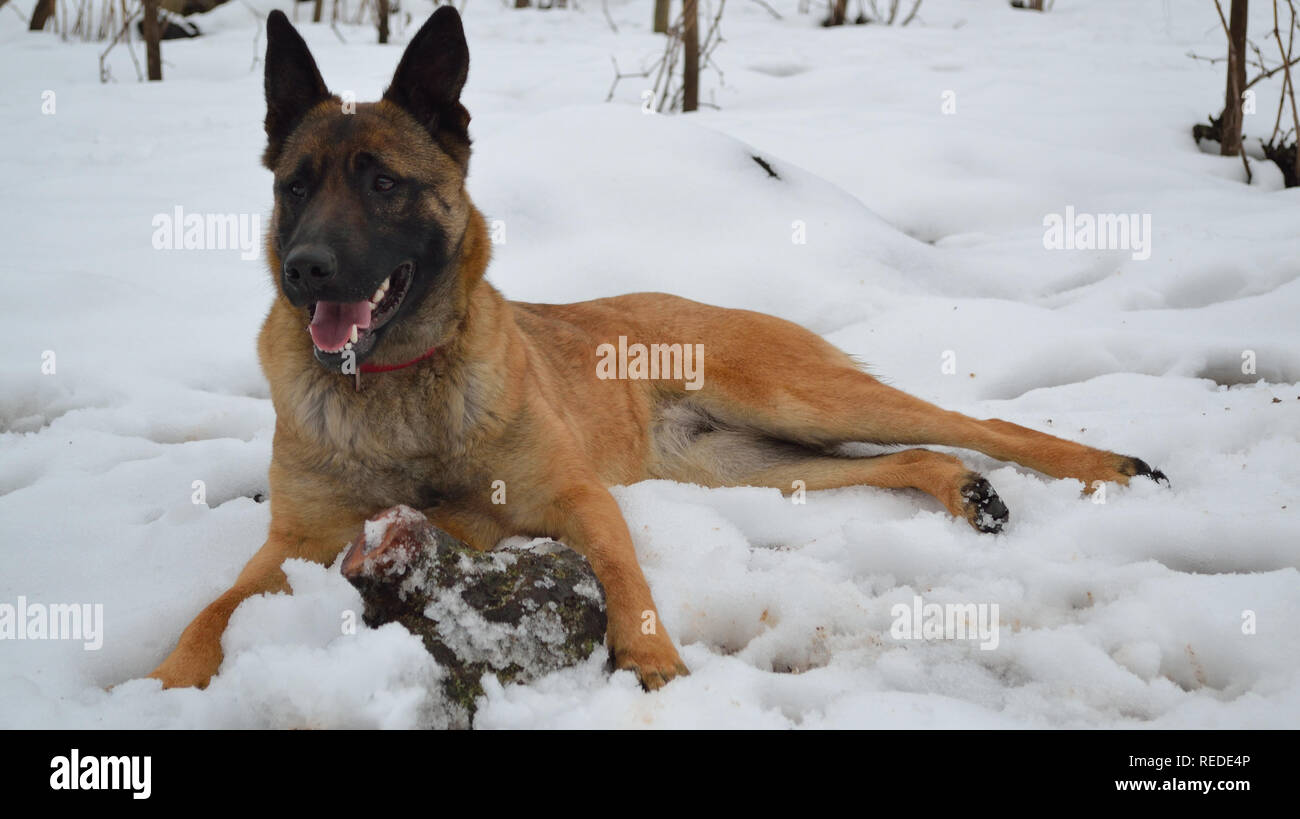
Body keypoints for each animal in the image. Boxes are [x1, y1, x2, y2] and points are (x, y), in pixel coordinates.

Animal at [144, 9, 1170, 696]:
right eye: (296, 186)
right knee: (910, 454)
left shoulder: (579, 498)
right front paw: (167, 684)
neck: (399, 388)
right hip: (749, 469)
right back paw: (963, 489)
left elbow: (626, 581)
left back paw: (1102, 464)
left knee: (972, 417)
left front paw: (656, 664)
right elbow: (208, 612)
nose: (307, 271)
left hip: (799, 400)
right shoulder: (294, 546)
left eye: (383, 184)